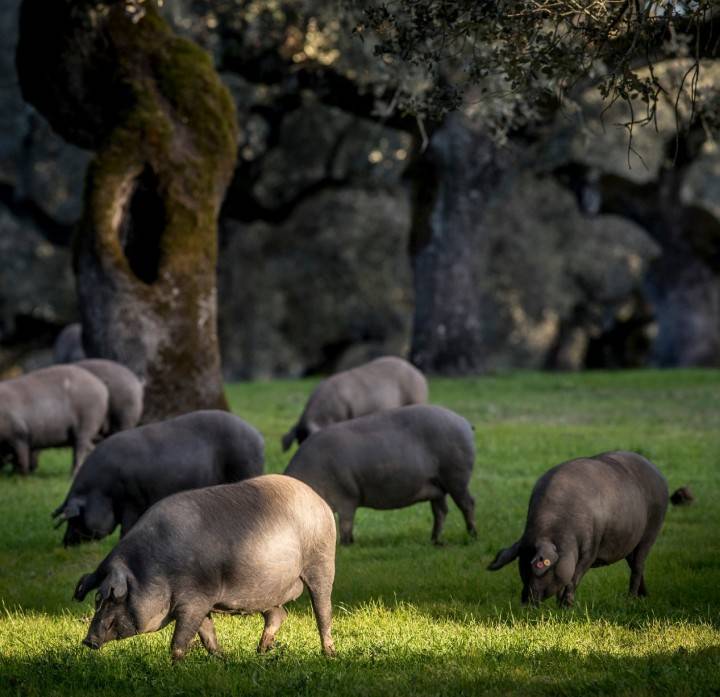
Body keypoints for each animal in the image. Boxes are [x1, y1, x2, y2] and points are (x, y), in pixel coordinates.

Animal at [53, 408, 262, 544]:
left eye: (74, 518)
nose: (65, 543)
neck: (102, 491)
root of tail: (257, 435)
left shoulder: (132, 499)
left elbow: (126, 526)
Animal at [73, 474, 338, 656]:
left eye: (115, 598)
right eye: (97, 598)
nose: (87, 641)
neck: (157, 571)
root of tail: (320, 500)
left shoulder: (195, 599)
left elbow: (180, 640)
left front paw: (175, 665)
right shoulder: (201, 603)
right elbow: (206, 634)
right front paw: (222, 659)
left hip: (322, 560)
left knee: (323, 610)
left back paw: (329, 654)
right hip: (266, 590)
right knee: (278, 614)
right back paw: (261, 651)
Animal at [284, 406, 476, 548]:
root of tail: (463, 421)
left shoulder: (347, 498)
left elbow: (346, 524)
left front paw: (346, 545)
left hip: (456, 478)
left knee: (468, 504)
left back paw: (472, 536)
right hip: (437, 486)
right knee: (441, 511)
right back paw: (435, 541)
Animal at [486, 452, 672, 604]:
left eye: (538, 567)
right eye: (521, 569)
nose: (525, 601)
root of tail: (658, 472)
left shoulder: (591, 548)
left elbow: (574, 578)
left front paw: (566, 606)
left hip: (652, 528)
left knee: (638, 566)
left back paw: (631, 599)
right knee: (635, 565)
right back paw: (644, 596)